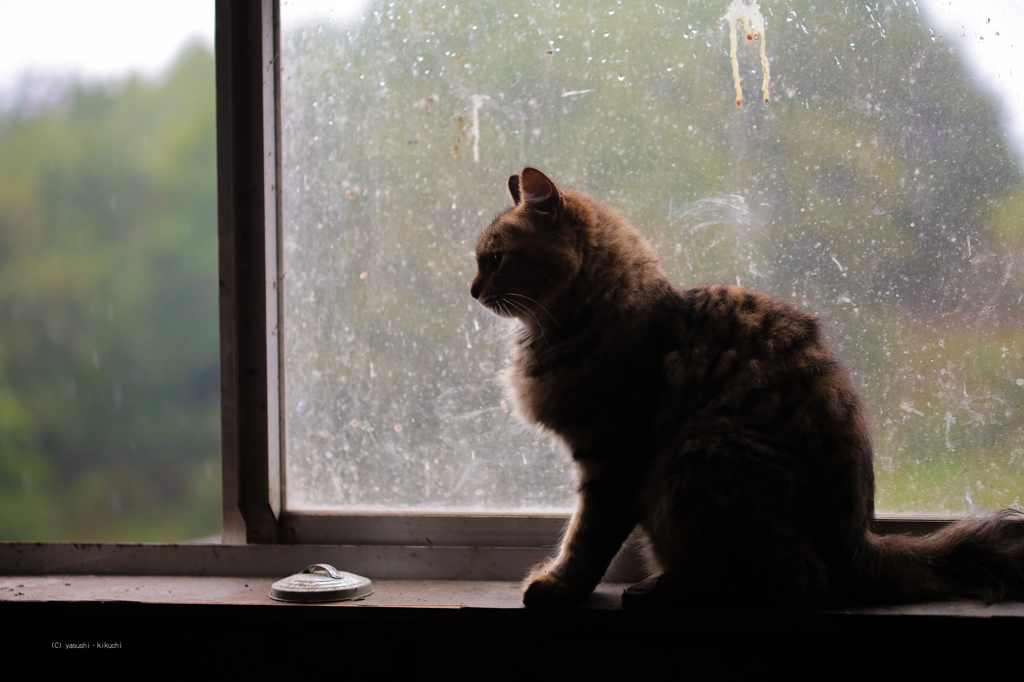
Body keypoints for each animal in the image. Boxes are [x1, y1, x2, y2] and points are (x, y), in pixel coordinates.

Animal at [471, 166, 1024, 606]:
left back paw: (666, 589)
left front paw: (558, 586)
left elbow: (585, 538)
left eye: (495, 259)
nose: (472, 291)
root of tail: (860, 547)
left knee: (790, 585)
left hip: (703, 450)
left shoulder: (612, 458)